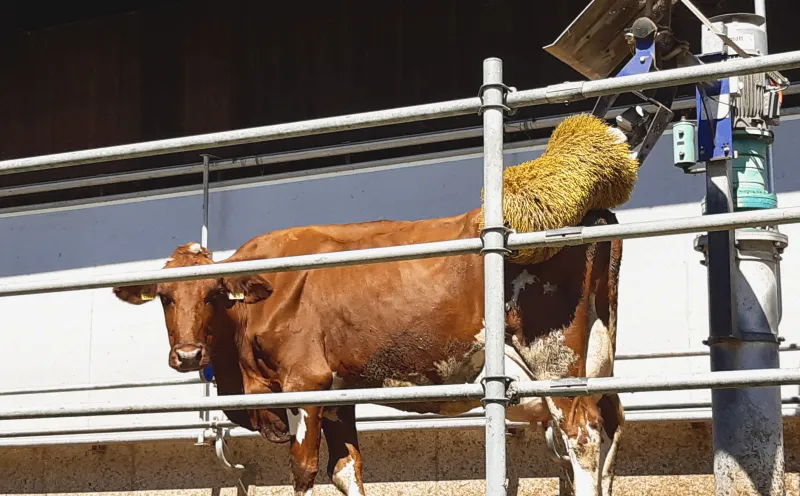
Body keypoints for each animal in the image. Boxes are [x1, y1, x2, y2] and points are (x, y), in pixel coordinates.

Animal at [113, 207, 624, 496]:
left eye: (214, 294)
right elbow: (346, 470)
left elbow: (303, 470)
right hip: (598, 359)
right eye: (165, 297)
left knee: (582, 438)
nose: (188, 355)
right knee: (610, 428)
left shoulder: (306, 381)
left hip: (554, 361)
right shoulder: (339, 394)